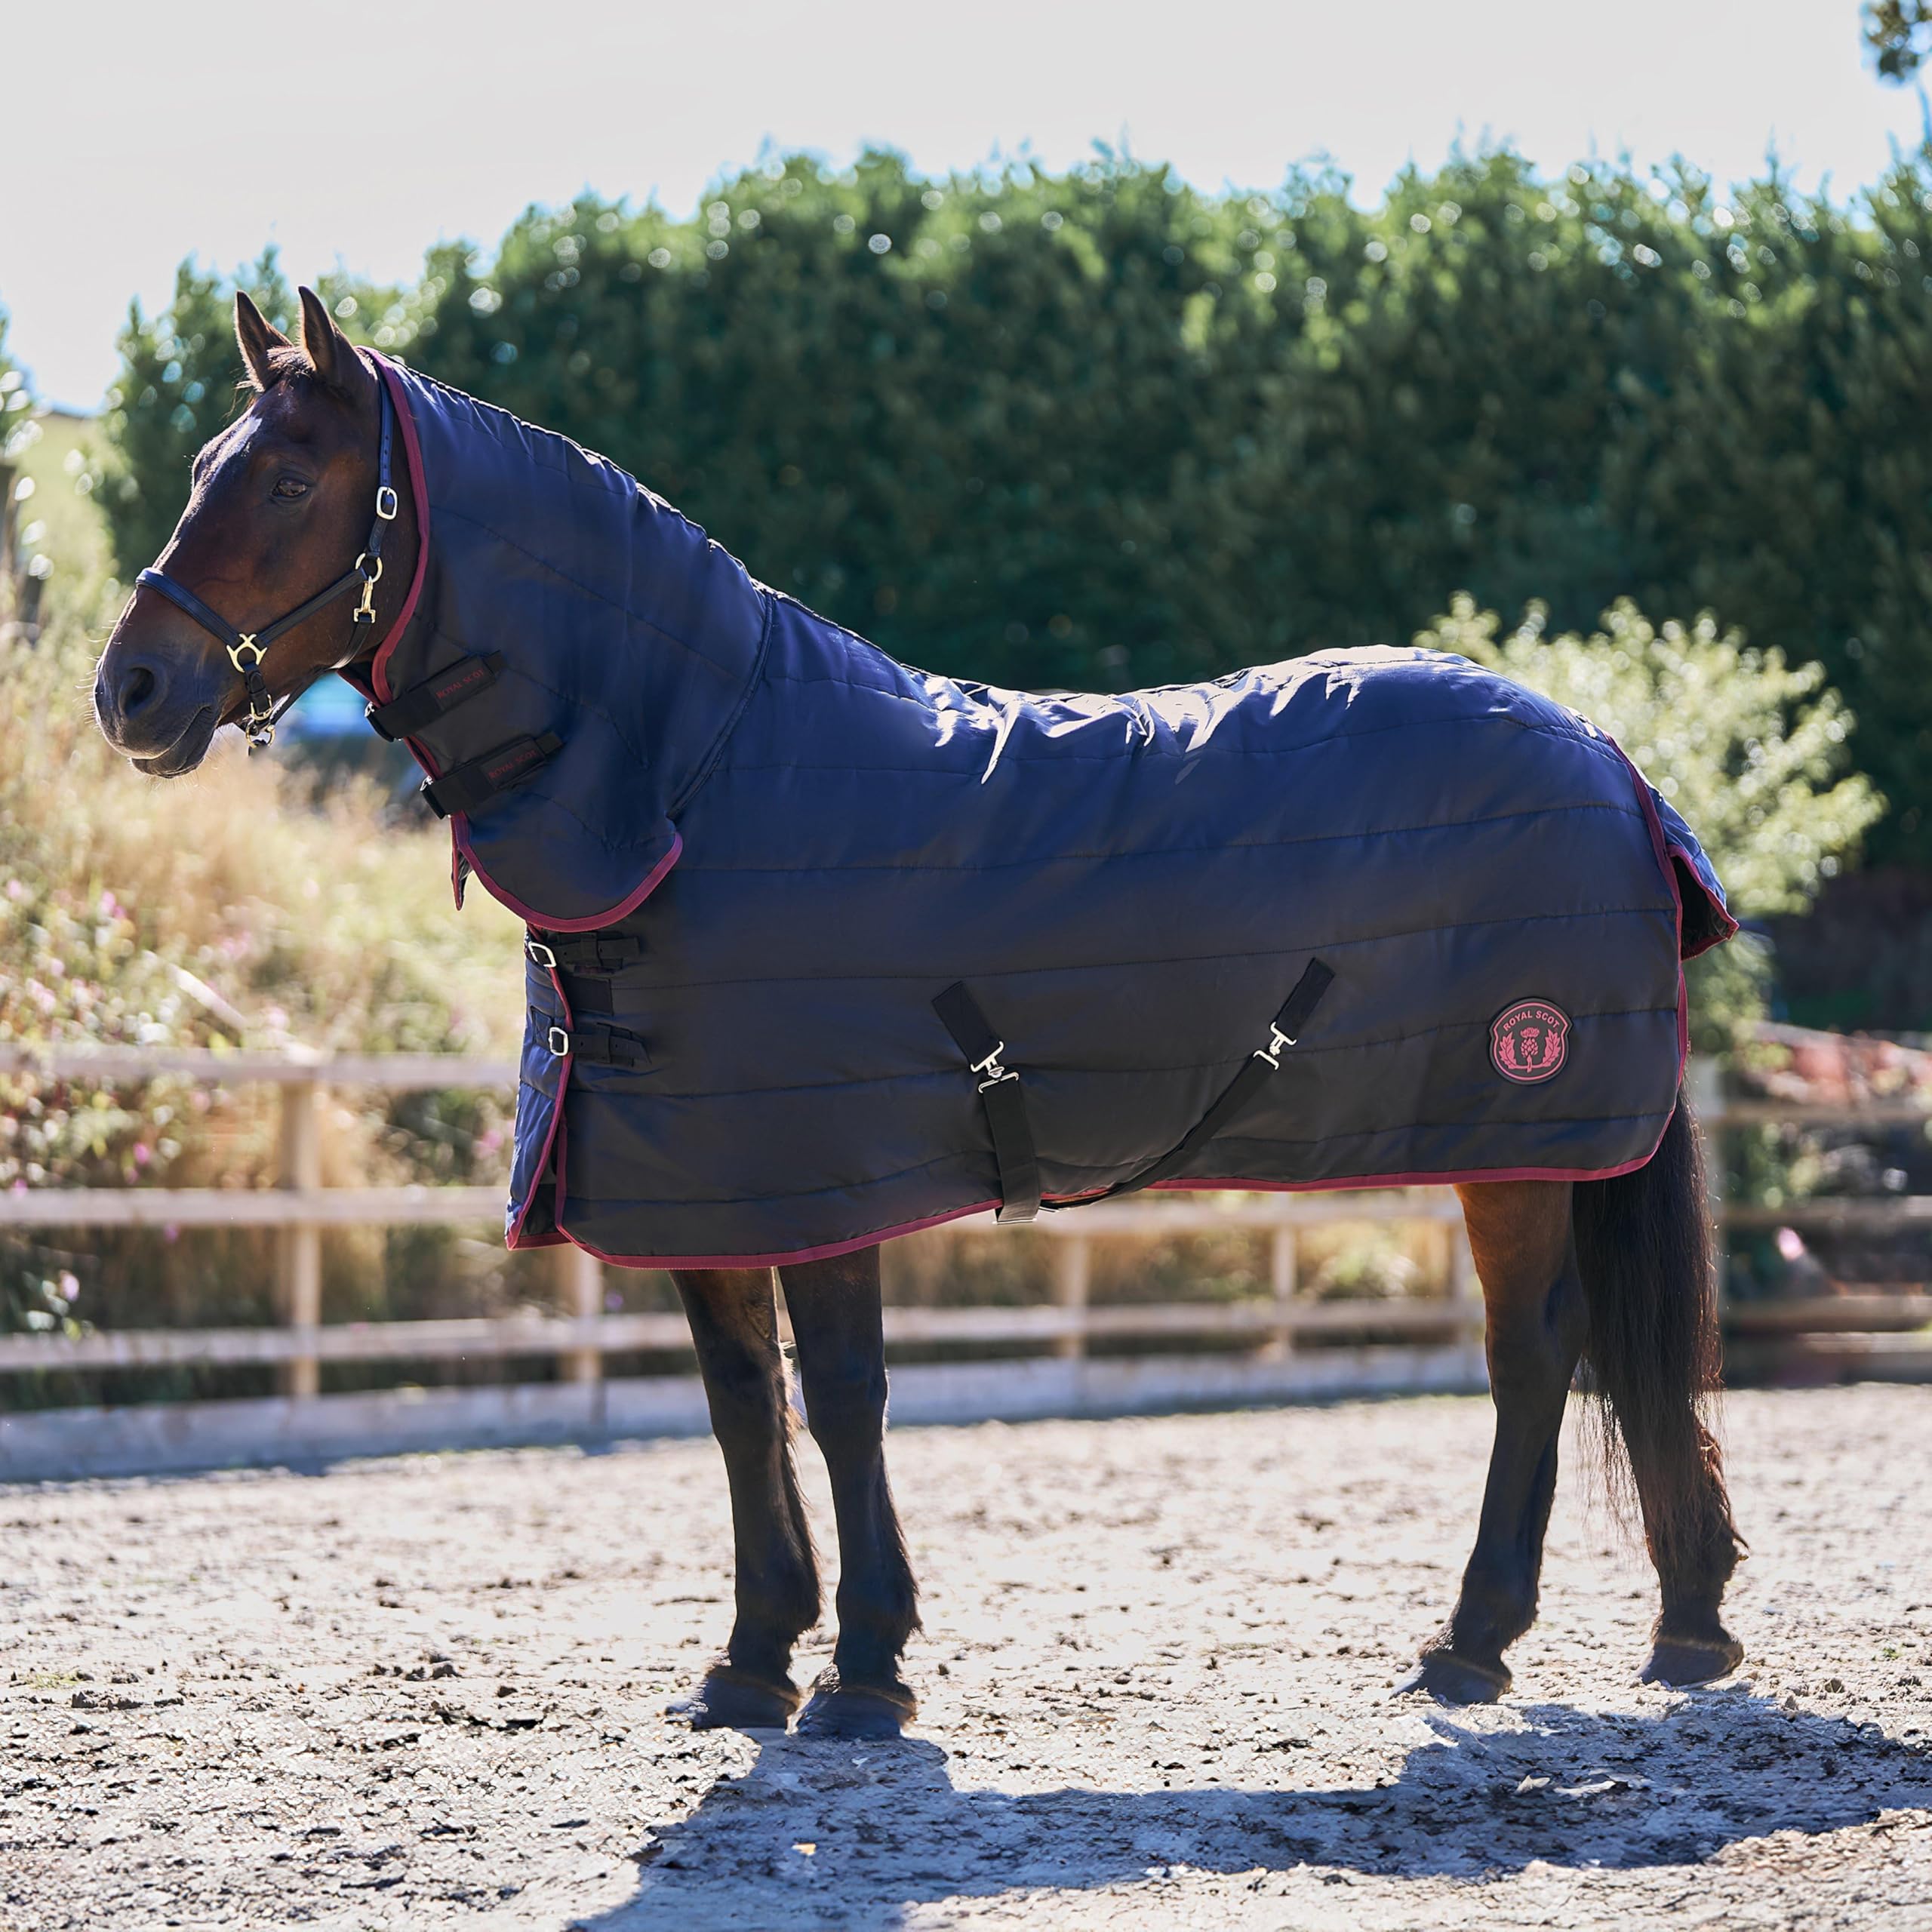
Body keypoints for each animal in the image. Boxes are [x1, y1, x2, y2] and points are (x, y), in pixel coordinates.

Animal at [91, 286, 1746, 1740]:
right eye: (203, 470)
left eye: (289, 478)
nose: (133, 691)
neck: (699, 776)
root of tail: (1607, 753)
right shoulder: (706, 1182)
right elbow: (738, 1406)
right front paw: (753, 1660)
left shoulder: (823, 1174)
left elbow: (839, 1399)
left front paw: (866, 1668)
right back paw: (1670, 1623)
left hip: (1525, 1129)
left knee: (1534, 1351)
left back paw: (1481, 1638)